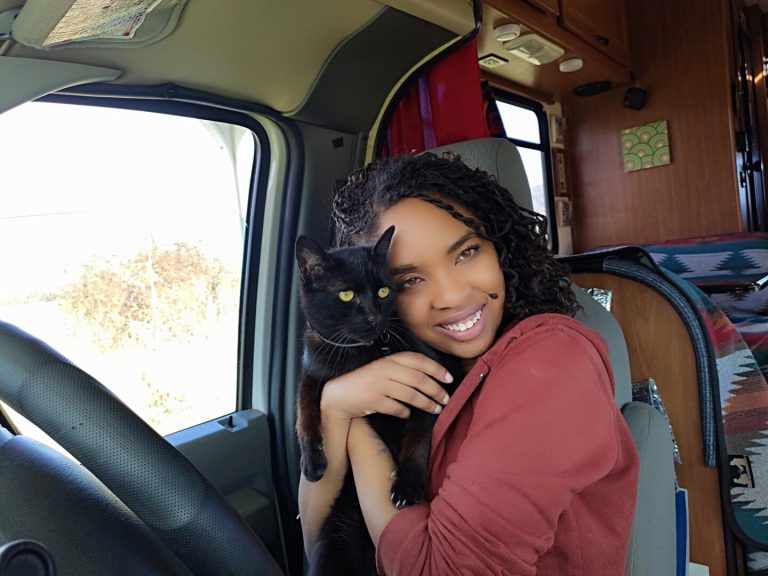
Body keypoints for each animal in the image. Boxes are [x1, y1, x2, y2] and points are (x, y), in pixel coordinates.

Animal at [294, 225, 462, 576]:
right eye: (346, 295)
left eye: (383, 291)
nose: (374, 317)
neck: (361, 356)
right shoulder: (313, 373)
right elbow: (303, 411)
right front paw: (312, 461)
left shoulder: (433, 385)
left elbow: (417, 439)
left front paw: (407, 486)